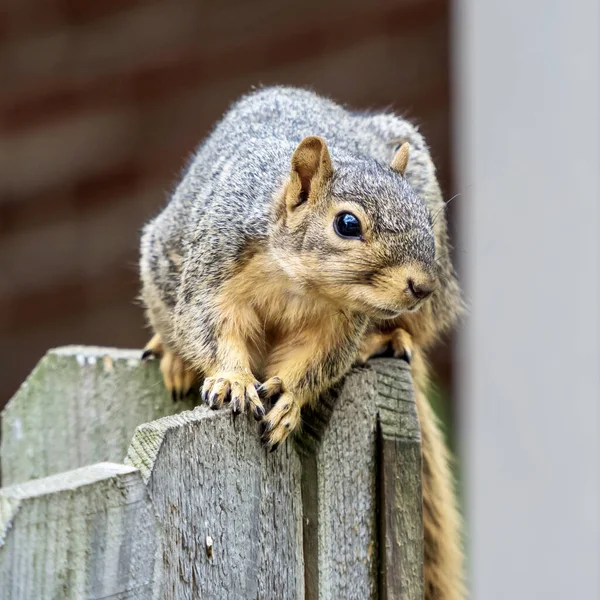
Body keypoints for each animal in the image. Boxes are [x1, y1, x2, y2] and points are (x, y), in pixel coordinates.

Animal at [139, 85, 464, 600]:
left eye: (424, 217)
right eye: (347, 224)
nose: (421, 286)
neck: (300, 281)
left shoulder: (338, 325)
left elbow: (317, 362)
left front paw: (289, 400)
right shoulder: (215, 269)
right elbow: (210, 328)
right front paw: (232, 380)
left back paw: (388, 339)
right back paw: (174, 359)